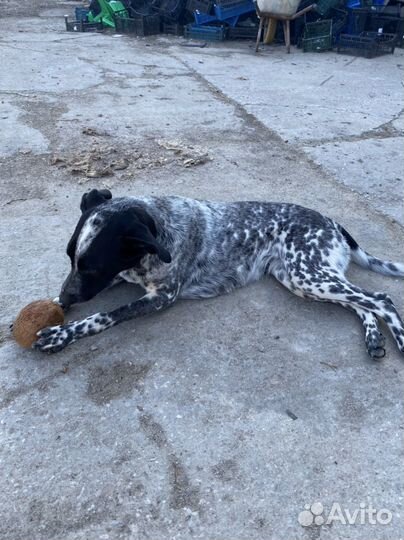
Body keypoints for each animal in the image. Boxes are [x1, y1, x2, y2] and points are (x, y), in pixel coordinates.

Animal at [34, 190, 404, 358]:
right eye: (70, 257)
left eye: (92, 266)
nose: (67, 296)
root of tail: (331, 221)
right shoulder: (120, 276)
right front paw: (53, 307)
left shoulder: (160, 298)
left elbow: (102, 316)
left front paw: (61, 334)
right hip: (302, 278)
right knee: (362, 303)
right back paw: (373, 338)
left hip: (308, 274)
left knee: (380, 299)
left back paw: (398, 340)